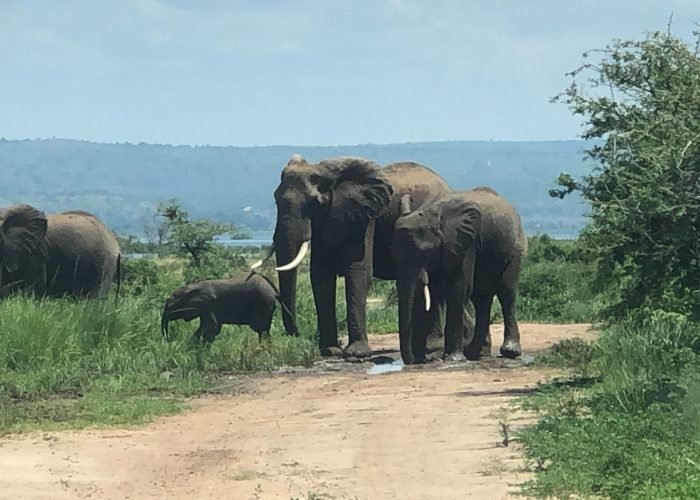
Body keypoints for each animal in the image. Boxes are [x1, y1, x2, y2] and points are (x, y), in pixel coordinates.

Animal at [161, 272, 292, 343]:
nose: (168, 341)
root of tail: (274, 291)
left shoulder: (208, 305)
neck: (191, 288)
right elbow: (211, 327)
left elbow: (212, 327)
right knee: (264, 330)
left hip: (263, 303)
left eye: (171, 305)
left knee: (261, 329)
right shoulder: (205, 309)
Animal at [256, 154, 450, 359]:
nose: (296, 334)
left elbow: (358, 271)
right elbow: (320, 276)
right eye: (276, 200)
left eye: (314, 203)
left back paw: (431, 347)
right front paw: (330, 351)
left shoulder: (364, 217)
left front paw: (357, 353)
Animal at [391, 187, 527, 364]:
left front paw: (453, 359)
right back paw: (474, 354)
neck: (429, 213)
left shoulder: (465, 241)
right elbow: (435, 293)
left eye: (424, 252)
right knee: (481, 299)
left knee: (506, 292)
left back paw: (509, 352)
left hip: (514, 246)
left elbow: (458, 290)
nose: (412, 361)